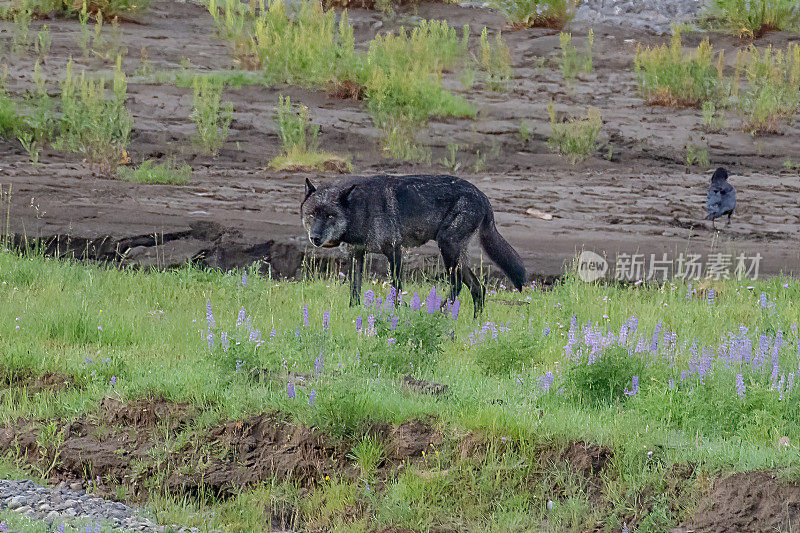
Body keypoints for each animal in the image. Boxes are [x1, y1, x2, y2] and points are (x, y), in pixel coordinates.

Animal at [300, 172, 524, 314]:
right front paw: (352, 312)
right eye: (311, 215)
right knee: (478, 288)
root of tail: (482, 195)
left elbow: (396, 287)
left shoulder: (395, 251)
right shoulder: (356, 255)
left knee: (458, 285)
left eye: (330, 216)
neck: (360, 209)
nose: (315, 238)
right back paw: (476, 322)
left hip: (448, 248)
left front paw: (397, 312)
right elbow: (355, 289)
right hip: (456, 256)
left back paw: (437, 312)